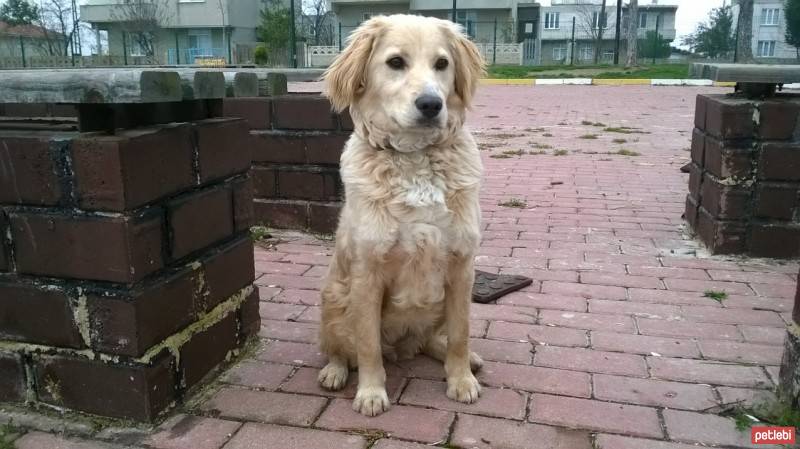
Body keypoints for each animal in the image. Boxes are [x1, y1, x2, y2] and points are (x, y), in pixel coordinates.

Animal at [320, 14, 488, 416]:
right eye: (396, 62)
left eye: (442, 64)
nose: (431, 104)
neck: (415, 158)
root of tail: (403, 347)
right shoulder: (367, 273)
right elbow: (367, 345)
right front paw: (371, 392)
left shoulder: (462, 268)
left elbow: (461, 334)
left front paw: (461, 379)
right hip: (334, 297)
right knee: (339, 347)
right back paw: (334, 371)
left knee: (434, 340)